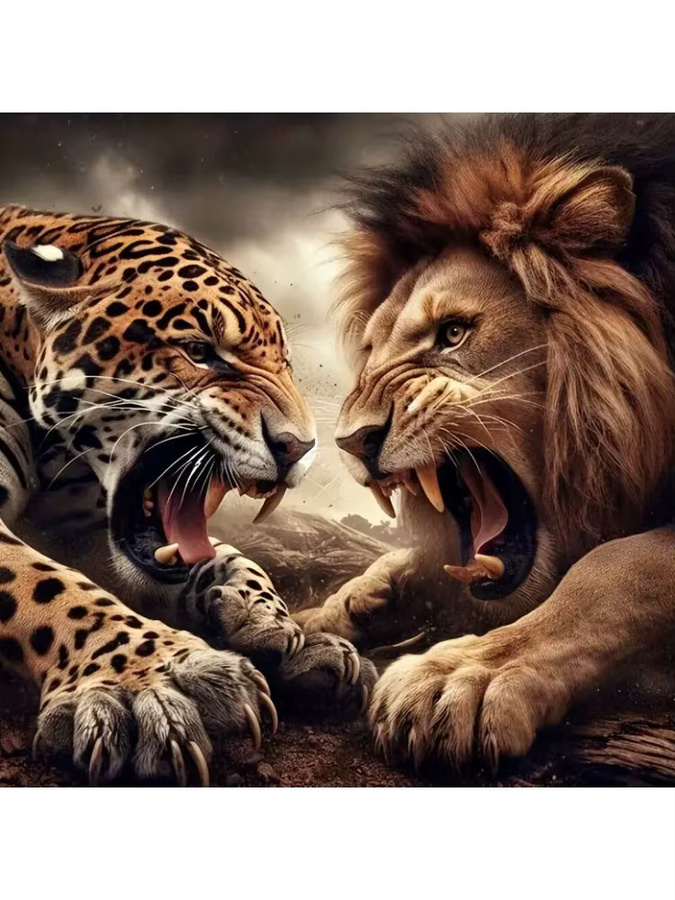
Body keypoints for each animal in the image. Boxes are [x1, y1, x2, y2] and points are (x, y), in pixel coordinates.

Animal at [295, 113, 675, 771]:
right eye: (371, 352)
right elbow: (415, 556)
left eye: (453, 333)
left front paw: (464, 674)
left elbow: (613, 567)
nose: (350, 441)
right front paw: (332, 610)